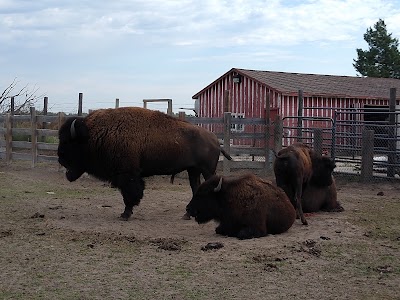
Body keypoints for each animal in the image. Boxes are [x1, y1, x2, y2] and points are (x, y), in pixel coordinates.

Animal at [56, 106, 231, 219]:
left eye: (68, 142)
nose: (59, 157)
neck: (96, 134)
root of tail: (215, 140)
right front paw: (126, 213)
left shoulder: (127, 174)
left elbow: (130, 193)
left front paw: (125, 214)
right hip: (193, 170)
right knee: (196, 188)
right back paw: (187, 214)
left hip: (207, 170)